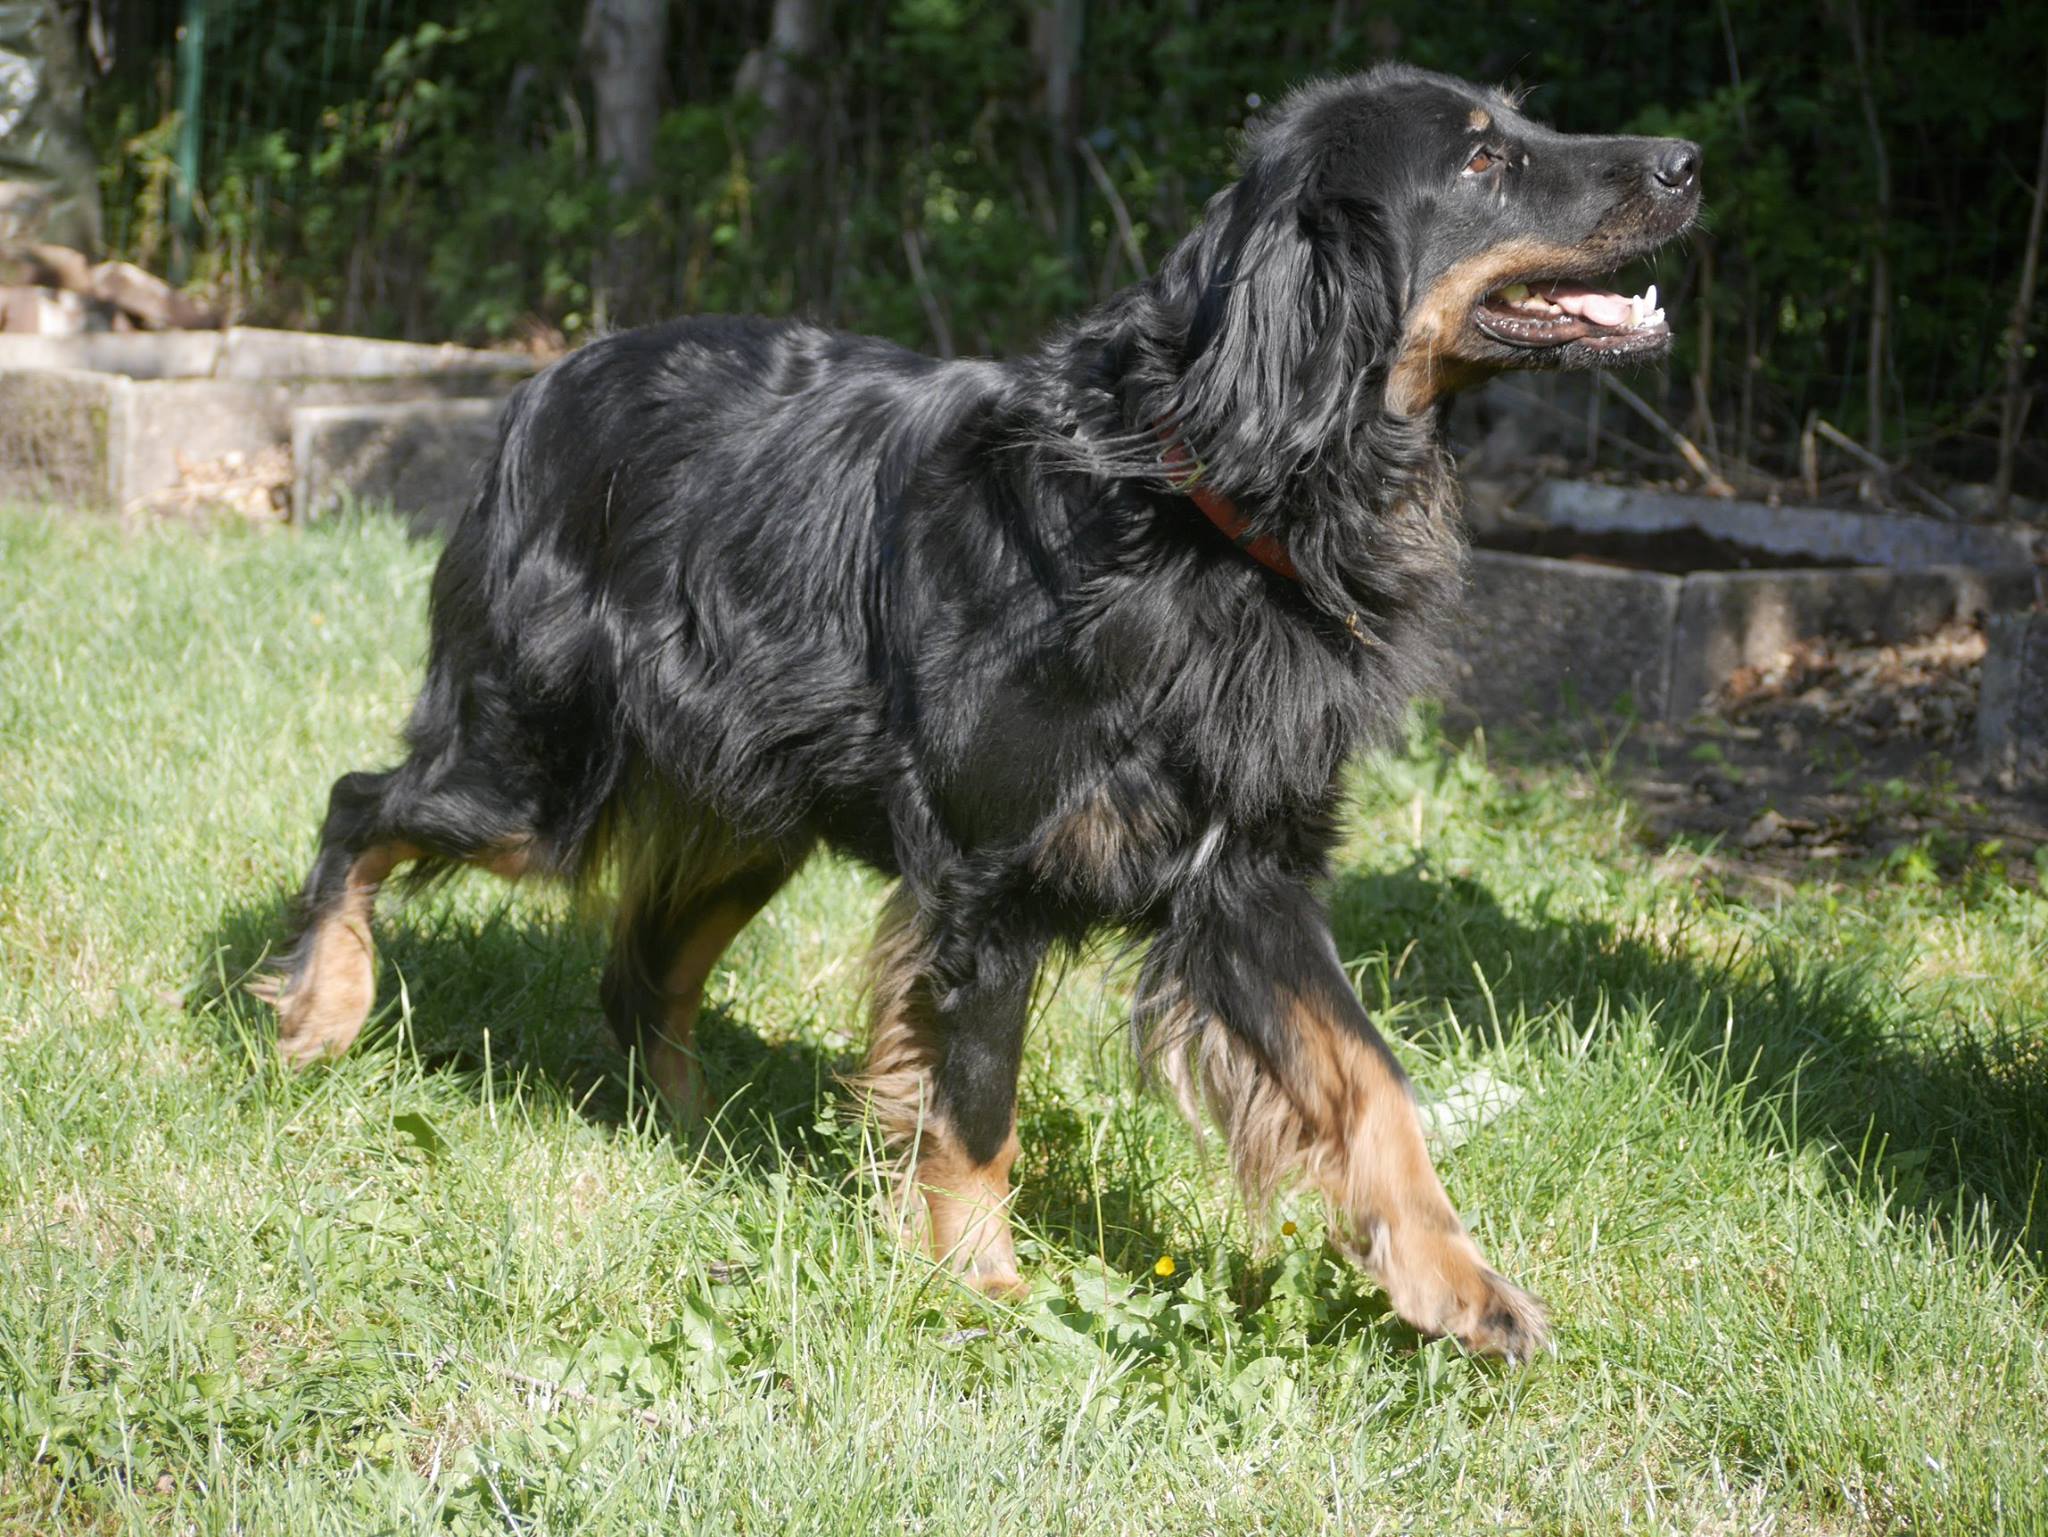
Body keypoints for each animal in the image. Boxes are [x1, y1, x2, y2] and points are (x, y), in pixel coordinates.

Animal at [260, 63, 1695, 1360]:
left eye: (1520, 124)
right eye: (1481, 159)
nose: (1684, 159)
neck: (1193, 502)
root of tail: (538, 387)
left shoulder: (1248, 874)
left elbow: (1371, 1082)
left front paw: (1458, 1284)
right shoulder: (992, 878)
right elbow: (978, 1106)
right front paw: (986, 1285)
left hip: (750, 811)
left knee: (642, 969)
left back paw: (691, 1132)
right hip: (538, 768)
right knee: (361, 806)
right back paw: (320, 1009)